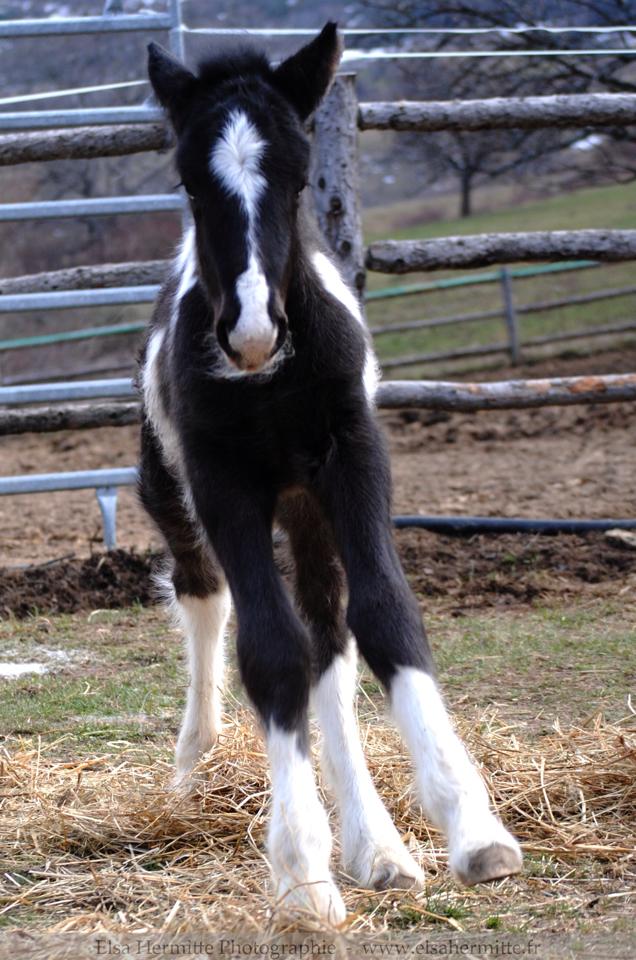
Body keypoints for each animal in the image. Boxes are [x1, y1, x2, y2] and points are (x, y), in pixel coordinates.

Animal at [139, 24, 520, 924]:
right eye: (187, 180)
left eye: (299, 173)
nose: (248, 332)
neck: (270, 382)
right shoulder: (222, 484)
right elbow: (270, 652)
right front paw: (303, 873)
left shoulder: (353, 458)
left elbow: (382, 618)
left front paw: (471, 829)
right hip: (170, 492)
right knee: (204, 597)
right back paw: (193, 763)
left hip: (309, 510)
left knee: (329, 642)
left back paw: (379, 848)